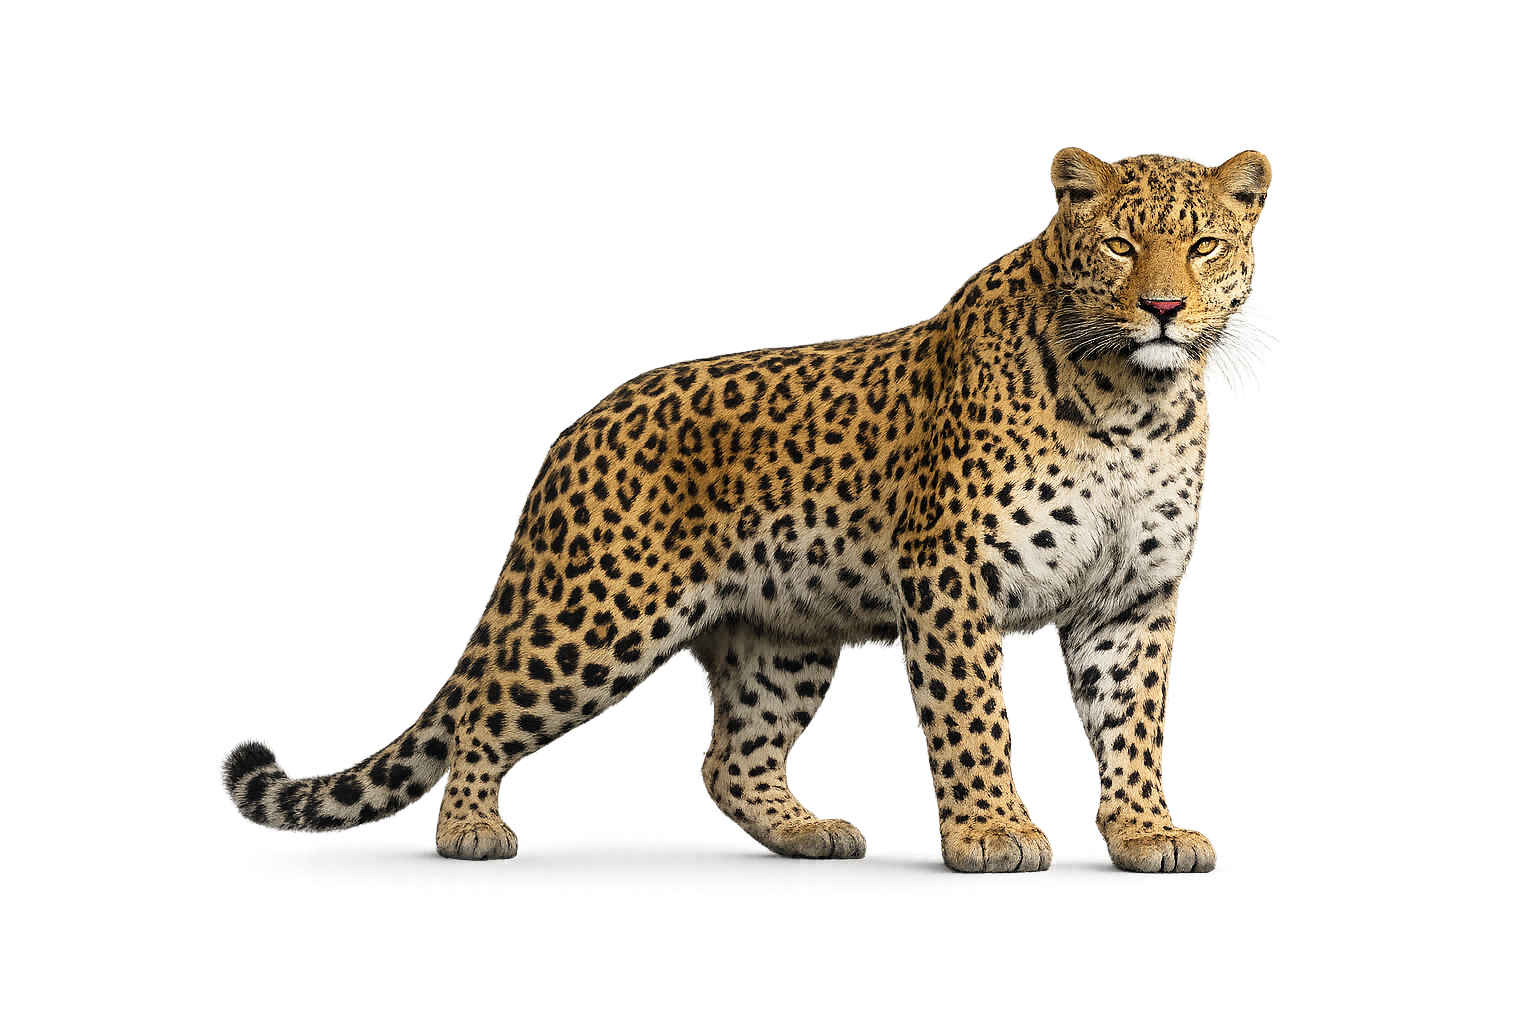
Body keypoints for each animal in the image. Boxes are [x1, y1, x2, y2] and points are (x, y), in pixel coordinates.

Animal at [226, 147, 1271, 873]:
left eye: (1205, 245)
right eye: (1121, 245)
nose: (1165, 308)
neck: (1135, 401)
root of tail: (575, 432)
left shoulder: (1132, 599)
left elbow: (1134, 723)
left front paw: (1145, 831)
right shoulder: (952, 577)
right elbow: (975, 713)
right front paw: (992, 830)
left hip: (781, 634)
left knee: (730, 760)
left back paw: (807, 830)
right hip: (600, 612)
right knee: (486, 707)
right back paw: (471, 828)